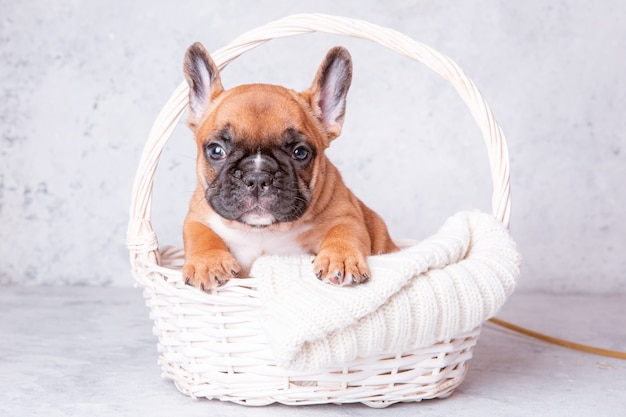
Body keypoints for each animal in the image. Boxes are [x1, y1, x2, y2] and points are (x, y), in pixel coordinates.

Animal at [180, 42, 398, 290]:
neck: (262, 232)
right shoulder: (196, 216)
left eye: (300, 153)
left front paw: (340, 259)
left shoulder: (347, 215)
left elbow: (343, 232)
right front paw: (207, 263)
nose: (257, 176)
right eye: (216, 151)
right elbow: (200, 235)